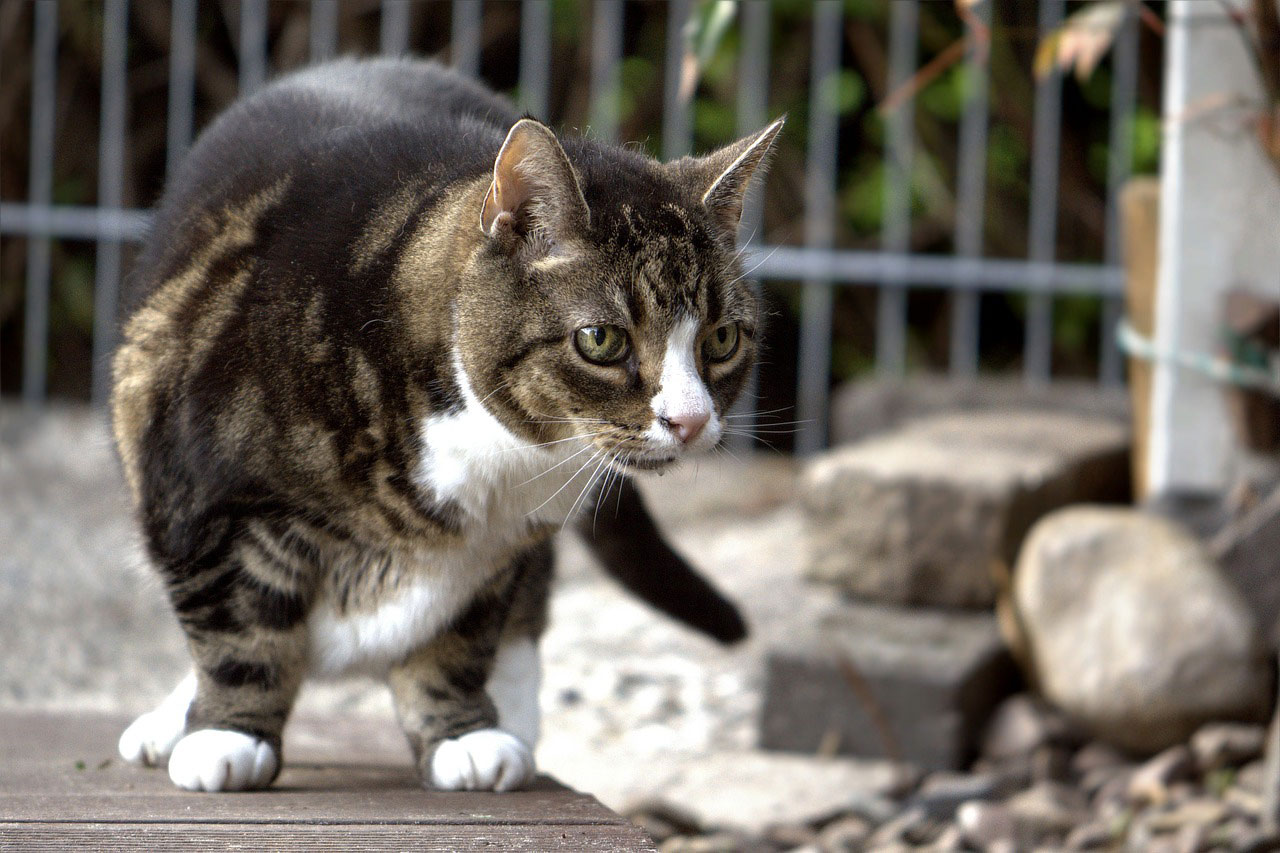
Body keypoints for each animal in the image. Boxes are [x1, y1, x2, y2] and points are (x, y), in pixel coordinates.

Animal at [112, 58, 778, 788]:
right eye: (601, 340)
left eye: (721, 339)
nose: (690, 419)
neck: (499, 459)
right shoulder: (196, 487)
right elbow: (236, 624)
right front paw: (226, 732)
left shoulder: (498, 553)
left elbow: (460, 637)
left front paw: (463, 734)